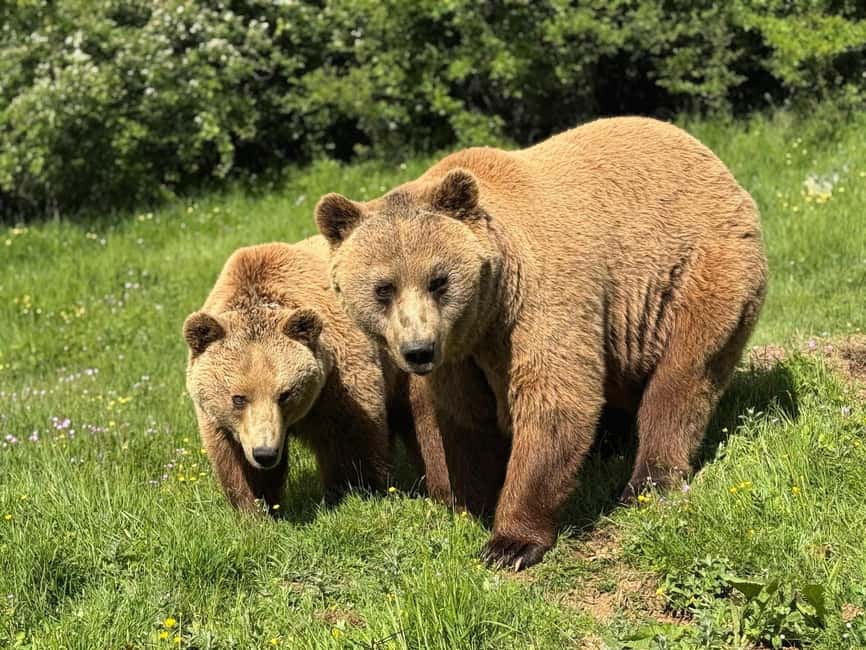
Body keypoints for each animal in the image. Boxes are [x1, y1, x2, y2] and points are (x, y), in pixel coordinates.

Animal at [184, 236, 508, 515]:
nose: (265, 453)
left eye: (285, 394)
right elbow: (234, 460)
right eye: (238, 398)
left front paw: (351, 494)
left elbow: (350, 438)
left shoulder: (339, 378)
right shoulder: (222, 421)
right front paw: (256, 508)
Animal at [314, 116, 768, 570]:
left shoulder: (540, 300)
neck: (489, 313)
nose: (418, 350)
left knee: (681, 380)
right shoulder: (460, 354)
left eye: (438, 280)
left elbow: (553, 401)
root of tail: (711, 158)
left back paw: (647, 481)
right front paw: (468, 503)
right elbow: (460, 418)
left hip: (693, 273)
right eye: (383, 288)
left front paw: (510, 542)